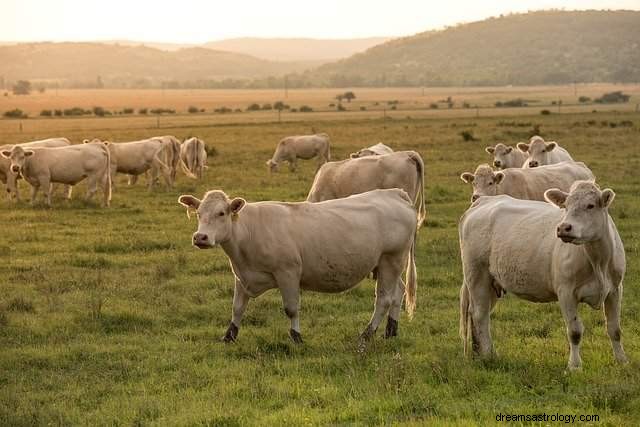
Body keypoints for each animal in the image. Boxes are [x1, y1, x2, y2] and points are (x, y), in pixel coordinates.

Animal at [179, 189, 420, 346]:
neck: (249, 231)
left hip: (391, 259)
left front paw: (296, 337)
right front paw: (229, 336)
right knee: (398, 292)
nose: (200, 237)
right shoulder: (242, 276)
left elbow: (291, 308)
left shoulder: (288, 273)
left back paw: (366, 335)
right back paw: (390, 331)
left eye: (221, 213)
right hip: (386, 265)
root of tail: (394, 193)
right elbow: (237, 308)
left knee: (384, 299)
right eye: (199, 213)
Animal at [460, 181, 632, 372]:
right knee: (479, 314)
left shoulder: (615, 289)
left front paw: (622, 361)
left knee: (479, 314)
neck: (598, 262)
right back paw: (488, 355)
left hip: (492, 282)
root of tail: (483, 201)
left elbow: (614, 329)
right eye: (566, 206)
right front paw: (574, 366)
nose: (564, 227)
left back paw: (481, 353)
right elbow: (574, 331)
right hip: (477, 274)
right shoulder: (566, 292)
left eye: (590, 205)